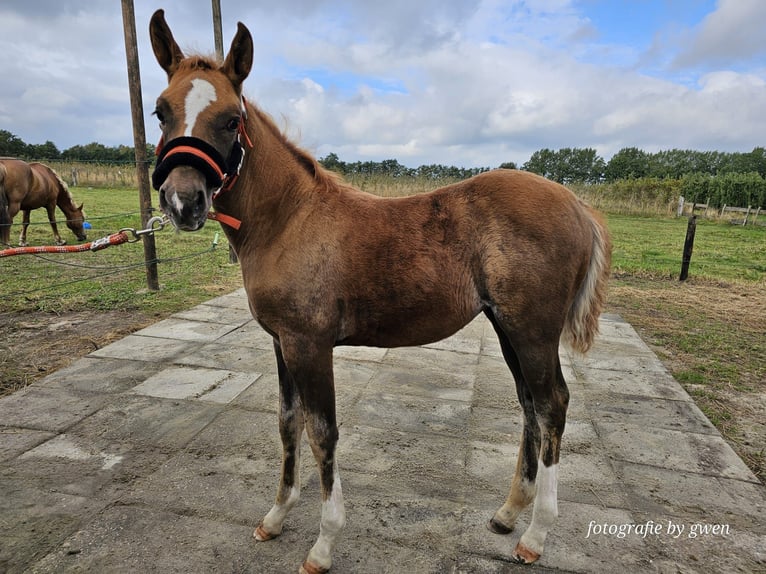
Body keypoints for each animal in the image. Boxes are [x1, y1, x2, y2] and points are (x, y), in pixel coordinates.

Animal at [150, 10, 612, 574]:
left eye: (230, 120)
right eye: (160, 112)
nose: (184, 201)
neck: (288, 218)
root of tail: (577, 204)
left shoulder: (309, 343)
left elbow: (321, 431)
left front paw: (323, 543)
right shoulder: (281, 342)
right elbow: (287, 423)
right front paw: (276, 516)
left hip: (533, 331)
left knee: (552, 406)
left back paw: (537, 534)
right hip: (508, 329)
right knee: (530, 404)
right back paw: (507, 514)